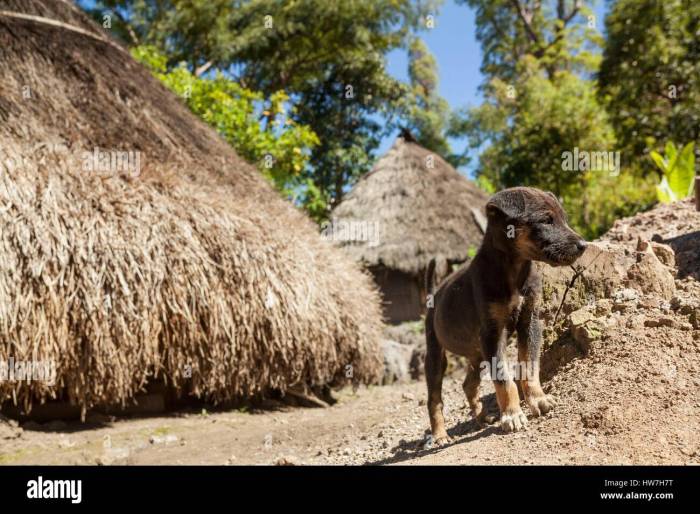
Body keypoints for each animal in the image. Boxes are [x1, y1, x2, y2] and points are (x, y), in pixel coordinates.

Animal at [424, 184, 588, 440]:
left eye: (564, 219)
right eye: (546, 220)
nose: (583, 245)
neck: (514, 269)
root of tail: (435, 293)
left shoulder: (530, 322)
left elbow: (529, 366)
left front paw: (538, 400)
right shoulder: (493, 333)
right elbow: (503, 378)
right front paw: (512, 414)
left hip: (477, 352)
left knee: (468, 385)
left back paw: (482, 418)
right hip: (435, 353)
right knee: (434, 400)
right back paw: (440, 435)